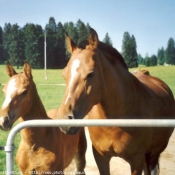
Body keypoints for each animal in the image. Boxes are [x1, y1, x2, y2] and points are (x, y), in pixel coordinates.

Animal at [57, 28, 175, 174]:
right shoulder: (101, 157)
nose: (65, 122)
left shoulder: (136, 160)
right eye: (64, 74)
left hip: (153, 153)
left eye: (91, 74)